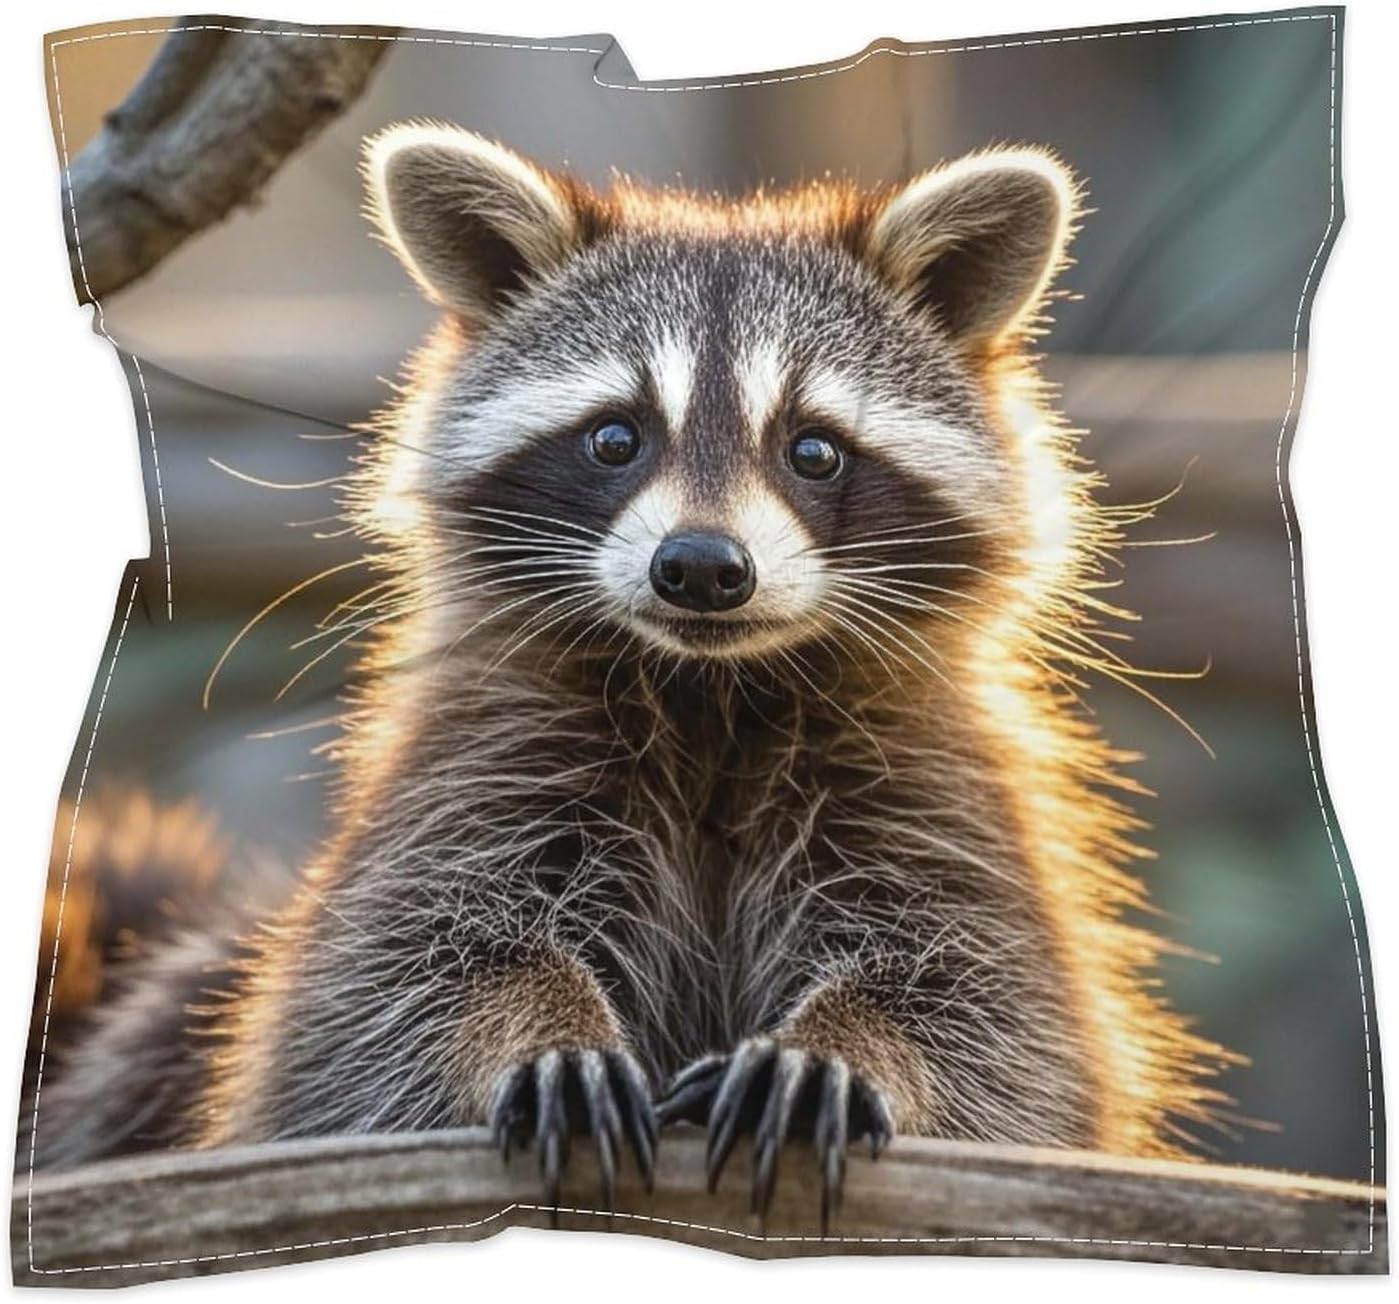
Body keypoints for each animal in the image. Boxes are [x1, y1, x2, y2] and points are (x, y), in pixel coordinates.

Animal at [31, 124, 1225, 1220]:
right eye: (616, 438)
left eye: (812, 448)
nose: (700, 567)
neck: (713, 692)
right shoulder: (476, 771)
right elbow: (394, 987)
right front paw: (534, 1030)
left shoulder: (939, 794)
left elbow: (994, 1017)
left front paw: (840, 1049)